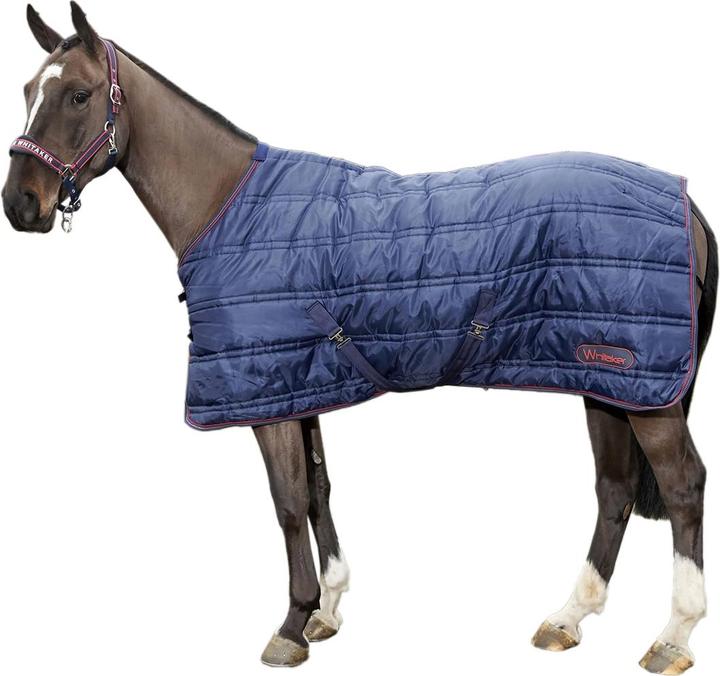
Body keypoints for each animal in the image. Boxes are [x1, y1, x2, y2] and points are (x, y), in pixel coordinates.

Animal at [3, 4, 717, 673]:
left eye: (78, 95)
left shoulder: (269, 399)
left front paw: (292, 624)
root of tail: (685, 202)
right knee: (614, 490)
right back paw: (568, 618)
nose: (21, 204)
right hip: (605, 382)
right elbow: (319, 491)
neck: (229, 208)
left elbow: (288, 502)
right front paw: (328, 609)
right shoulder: (298, 387)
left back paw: (672, 636)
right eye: (28, 90)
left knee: (682, 484)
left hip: (643, 390)